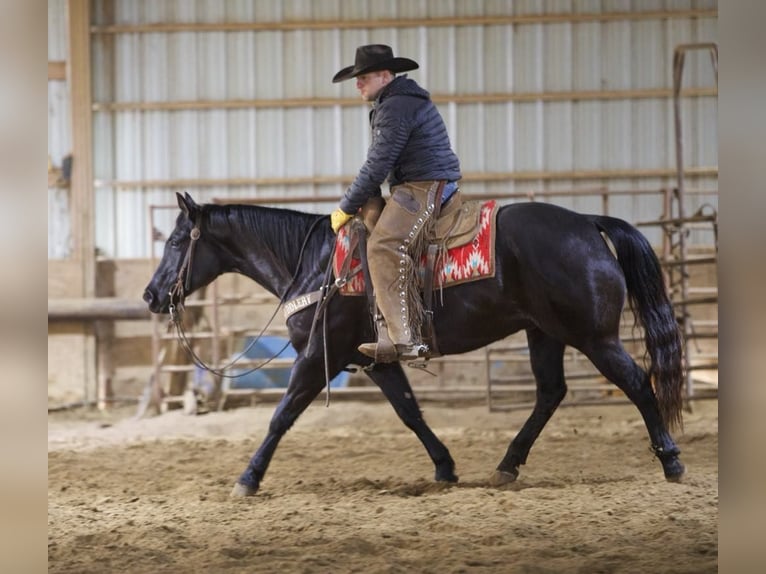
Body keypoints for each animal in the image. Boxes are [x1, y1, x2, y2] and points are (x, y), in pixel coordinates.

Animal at [146, 194, 688, 500]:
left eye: (174, 242)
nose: (151, 295)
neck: (317, 263)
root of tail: (587, 222)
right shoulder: (373, 359)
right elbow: (410, 411)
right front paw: (444, 467)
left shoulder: (318, 356)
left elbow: (281, 416)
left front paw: (248, 478)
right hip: (544, 333)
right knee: (551, 393)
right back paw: (506, 466)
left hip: (594, 337)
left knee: (637, 383)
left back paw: (671, 461)